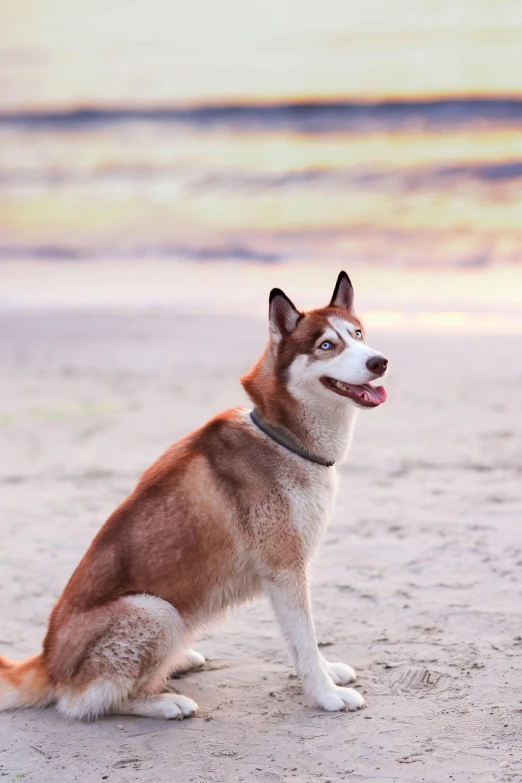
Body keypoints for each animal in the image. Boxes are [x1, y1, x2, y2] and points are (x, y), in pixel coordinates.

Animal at [0, 272, 386, 720]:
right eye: (326, 345)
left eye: (358, 335)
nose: (379, 361)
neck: (283, 437)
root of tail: (45, 660)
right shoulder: (284, 569)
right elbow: (304, 641)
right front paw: (325, 693)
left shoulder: (292, 570)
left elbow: (307, 640)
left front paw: (329, 671)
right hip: (155, 610)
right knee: (81, 702)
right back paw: (164, 701)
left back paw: (178, 662)